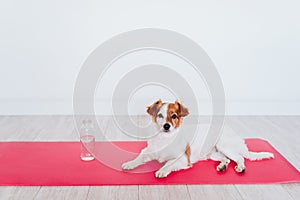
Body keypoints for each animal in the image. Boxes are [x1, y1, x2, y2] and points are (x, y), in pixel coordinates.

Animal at [122, 100, 274, 178]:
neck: (166, 139)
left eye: (174, 116)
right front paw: (130, 163)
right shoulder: (148, 151)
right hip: (213, 153)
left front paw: (162, 170)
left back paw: (241, 167)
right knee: (226, 159)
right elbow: (139, 157)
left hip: (224, 145)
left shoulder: (184, 159)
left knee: (240, 158)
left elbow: (169, 164)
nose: (166, 126)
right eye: (160, 115)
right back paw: (222, 166)